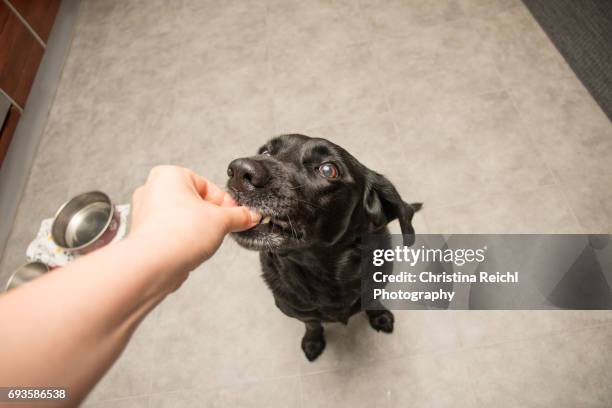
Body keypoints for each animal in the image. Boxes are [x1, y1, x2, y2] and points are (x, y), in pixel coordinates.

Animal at [225, 135, 420, 360]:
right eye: (265, 152)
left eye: (328, 170)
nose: (239, 171)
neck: (324, 275)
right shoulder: (299, 312)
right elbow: (312, 324)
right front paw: (313, 341)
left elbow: (372, 301)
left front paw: (379, 316)